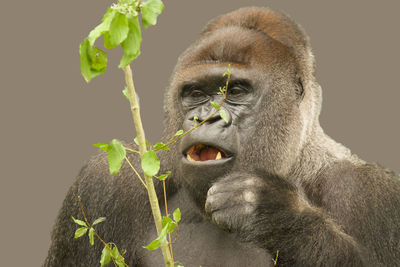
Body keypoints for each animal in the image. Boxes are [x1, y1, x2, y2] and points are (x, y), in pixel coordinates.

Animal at [43, 6, 400, 267]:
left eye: (237, 91)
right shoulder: (103, 183)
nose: (205, 117)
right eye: (196, 93)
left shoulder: (370, 194)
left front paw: (276, 216)